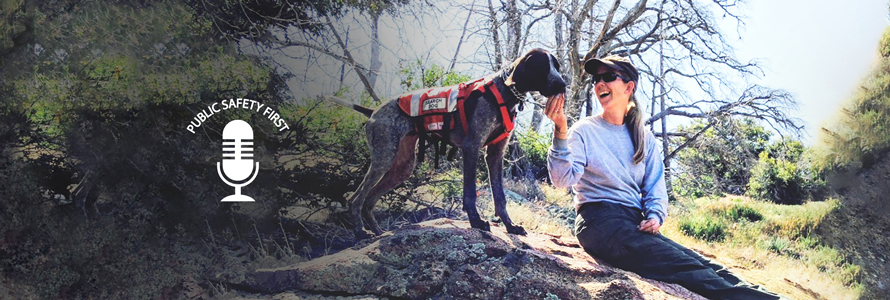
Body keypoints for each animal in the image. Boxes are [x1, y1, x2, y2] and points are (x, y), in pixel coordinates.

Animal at [330, 48, 564, 238]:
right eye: (542, 66)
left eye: (556, 66)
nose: (563, 83)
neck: (503, 92)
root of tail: (373, 112)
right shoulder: (471, 148)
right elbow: (470, 193)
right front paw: (476, 222)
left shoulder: (495, 155)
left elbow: (500, 197)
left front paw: (510, 226)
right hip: (383, 158)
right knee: (356, 199)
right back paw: (360, 232)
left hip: (402, 167)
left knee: (369, 200)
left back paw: (378, 232)